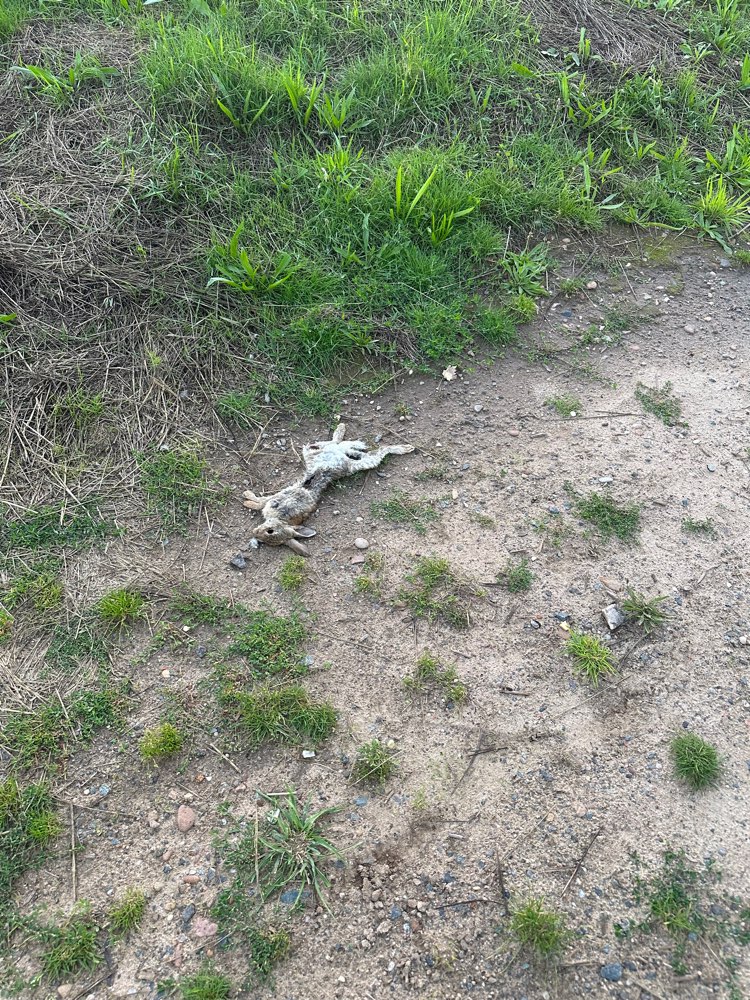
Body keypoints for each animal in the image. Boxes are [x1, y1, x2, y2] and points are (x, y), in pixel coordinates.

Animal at [243, 423, 414, 555]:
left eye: (270, 532)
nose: (255, 532)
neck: (282, 519)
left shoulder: (277, 499)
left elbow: (260, 502)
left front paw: (247, 499)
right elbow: (261, 502)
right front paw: (247, 497)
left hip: (330, 454)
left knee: (375, 450)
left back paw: (405, 447)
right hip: (325, 454)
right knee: (341, 446)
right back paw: (349, 436)